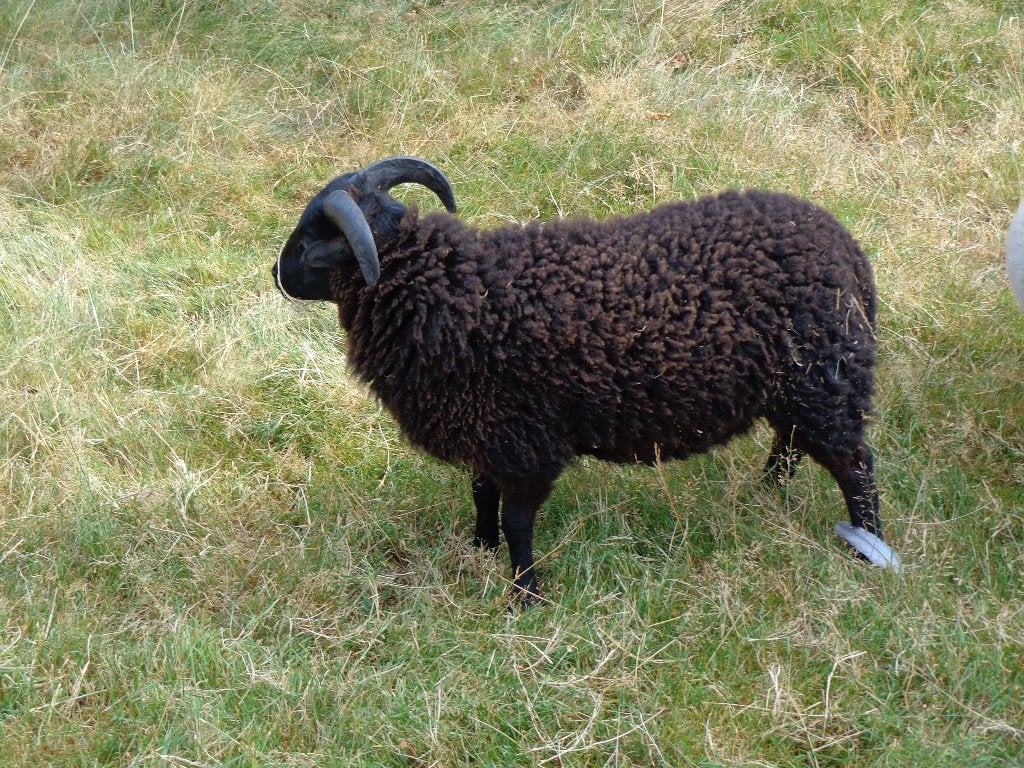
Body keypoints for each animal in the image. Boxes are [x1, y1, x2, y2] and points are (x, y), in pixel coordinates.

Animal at [272, 156, 900, 602]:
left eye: (309, 238)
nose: (275, 272)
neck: (457, 294)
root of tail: (850, 252)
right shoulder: (487, 430)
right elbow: (481, 493)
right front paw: (479, 548)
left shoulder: (524, 443)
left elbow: (518, 521)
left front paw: (524, 595)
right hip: (796, 388)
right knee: (790, 446)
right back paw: (761, 497)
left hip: (824, 382)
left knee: (856, 467)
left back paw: (865, 547)